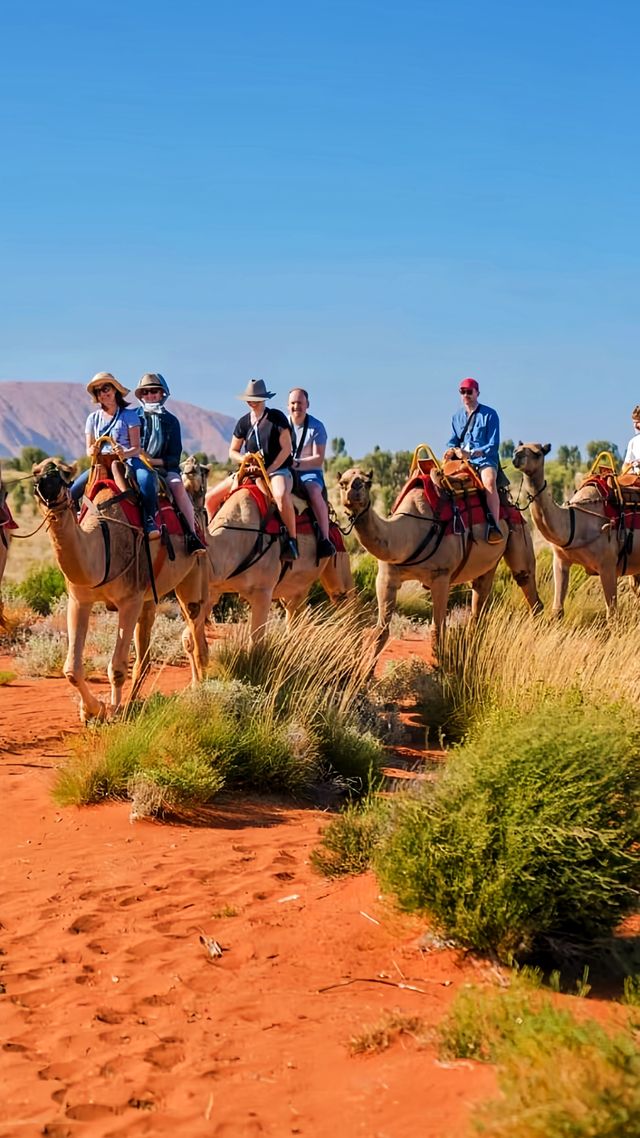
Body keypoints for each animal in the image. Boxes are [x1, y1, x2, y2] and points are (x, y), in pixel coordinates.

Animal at [33, 455, 207, 714]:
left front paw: (113, 711)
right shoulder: (79, 599)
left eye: (61, 474)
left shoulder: (129, 600)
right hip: (150, 594)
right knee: (147, 649)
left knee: (195, 629)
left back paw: (199, 689)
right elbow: (72, 670)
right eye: (36, 472)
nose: (45, 486)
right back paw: (135, 700)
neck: (103, 543)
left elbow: (116, 668)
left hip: (193, 570)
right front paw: (91, 711)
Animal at [181, 455, 353, 641]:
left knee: (346, 603)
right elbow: (187, 637)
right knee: (294, 612)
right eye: (181, 467)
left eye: (204, 470)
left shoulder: (262, 592)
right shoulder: (213, 589)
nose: (190, 464)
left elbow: (256, 642)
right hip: (298, 587)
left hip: (338, 559)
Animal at [337, 464, 539, 650]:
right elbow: (380, 632)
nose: (352, 490)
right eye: (342, 483)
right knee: (479, 600)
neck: (410, 532)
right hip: (489, 564)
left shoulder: (441, 576)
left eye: (367, 482)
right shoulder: (386, 577)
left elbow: (437, 630)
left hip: (518, 531)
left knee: (527, 585)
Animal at [510, 443, 640, 623]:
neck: (573, 523)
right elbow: (557, 611)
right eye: (517, 449)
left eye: (538, 452)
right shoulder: (560, 560)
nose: (517, 457)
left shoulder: (607, 564)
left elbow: (612, 614)